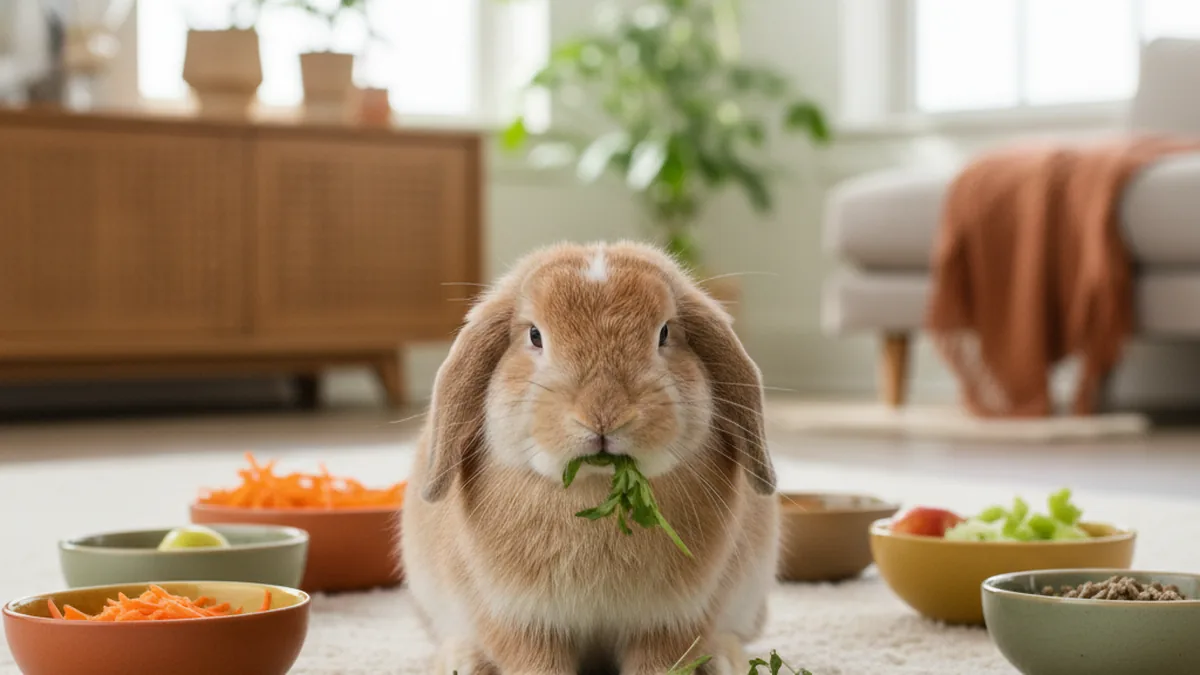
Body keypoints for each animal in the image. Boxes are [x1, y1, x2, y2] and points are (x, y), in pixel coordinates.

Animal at [401, 241, 779, 675]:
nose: (603, 414)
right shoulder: (519, 621)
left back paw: (726, 659)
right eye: (535, 335)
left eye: (665, 333)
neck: (595, 489)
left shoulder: (670, 622)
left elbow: (659, 664)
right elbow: (537, 664)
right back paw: (462, 660)